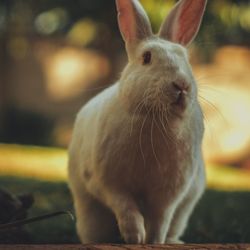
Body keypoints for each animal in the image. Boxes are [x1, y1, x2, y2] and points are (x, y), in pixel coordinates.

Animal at [68, 0, 207, 243]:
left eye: (186, 60)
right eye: (147, 58)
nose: (182, 85)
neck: (157, 119)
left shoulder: (170, 193)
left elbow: (160, 221)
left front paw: (152, 242)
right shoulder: (108, 183)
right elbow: (126, 208)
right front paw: (135, 237)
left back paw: (174, 242)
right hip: (90, 216)